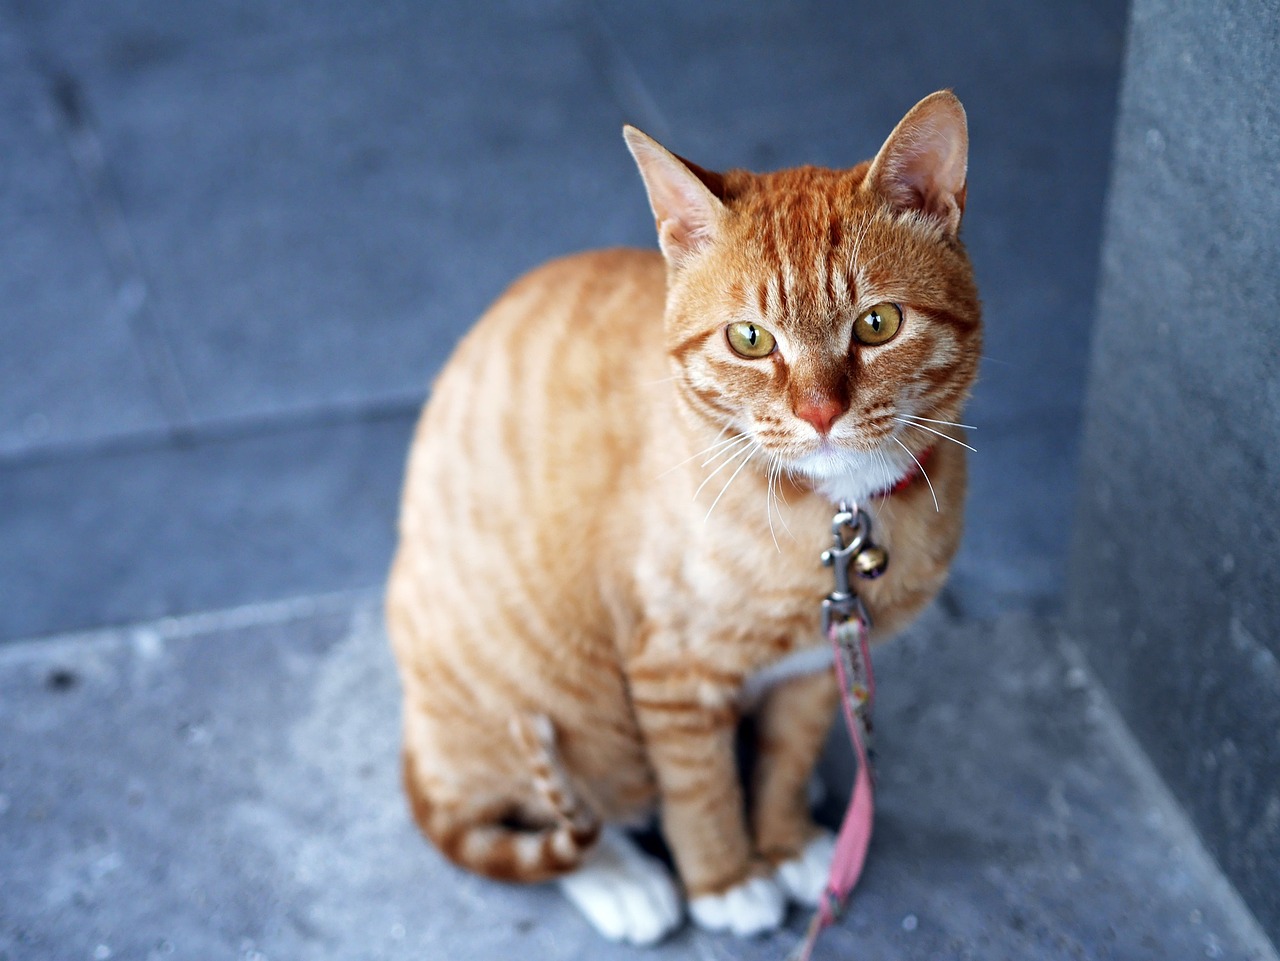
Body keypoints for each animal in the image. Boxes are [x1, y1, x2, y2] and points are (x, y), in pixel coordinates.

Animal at [384, 92, 983, 946]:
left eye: (877, 324)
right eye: (749, 339)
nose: (819, 413)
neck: (837, 514)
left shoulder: (816, 662)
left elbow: (787, 754)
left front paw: (785, 839)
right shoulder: (671, 668)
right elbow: (699, 790)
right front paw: (726, 878)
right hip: (550, 704)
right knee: (559, 814)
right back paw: (624, 879)